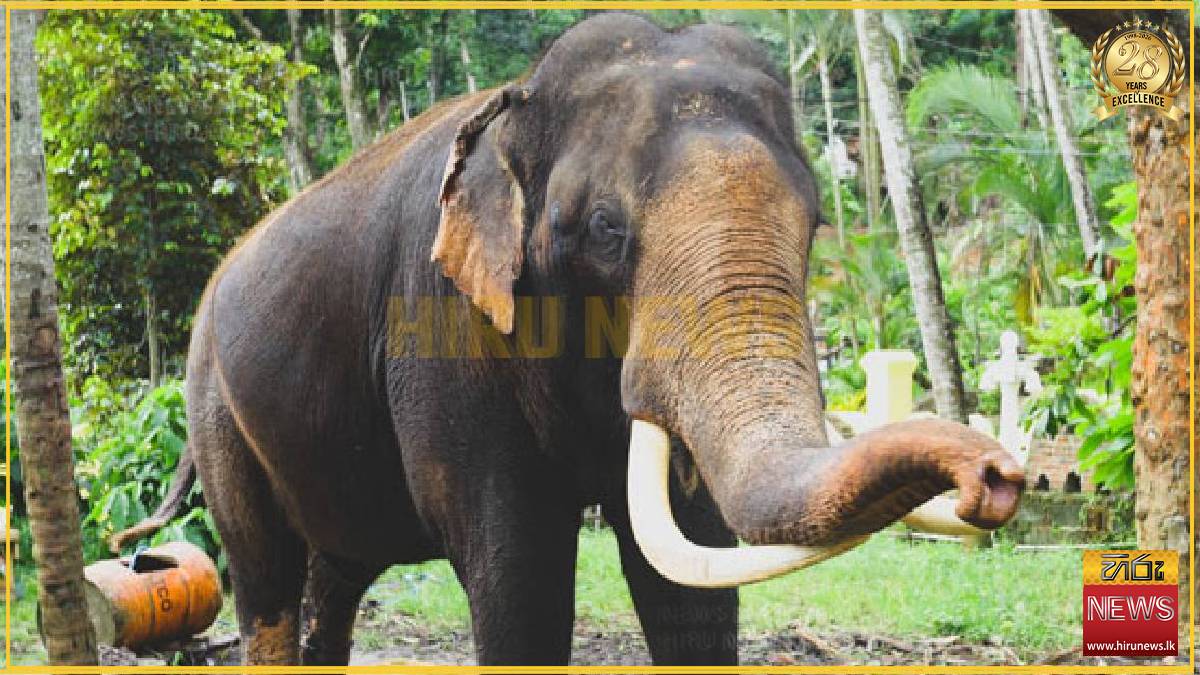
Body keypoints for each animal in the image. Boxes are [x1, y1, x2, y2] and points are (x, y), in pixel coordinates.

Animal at [118, 13, 1024, 666]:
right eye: (604, 229)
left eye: (813, 223)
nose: (996, 477)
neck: (510, 108)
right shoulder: (441, 327)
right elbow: (519, 574)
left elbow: (690, 576)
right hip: (216, 410)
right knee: (267, 578)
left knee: (332, 582)